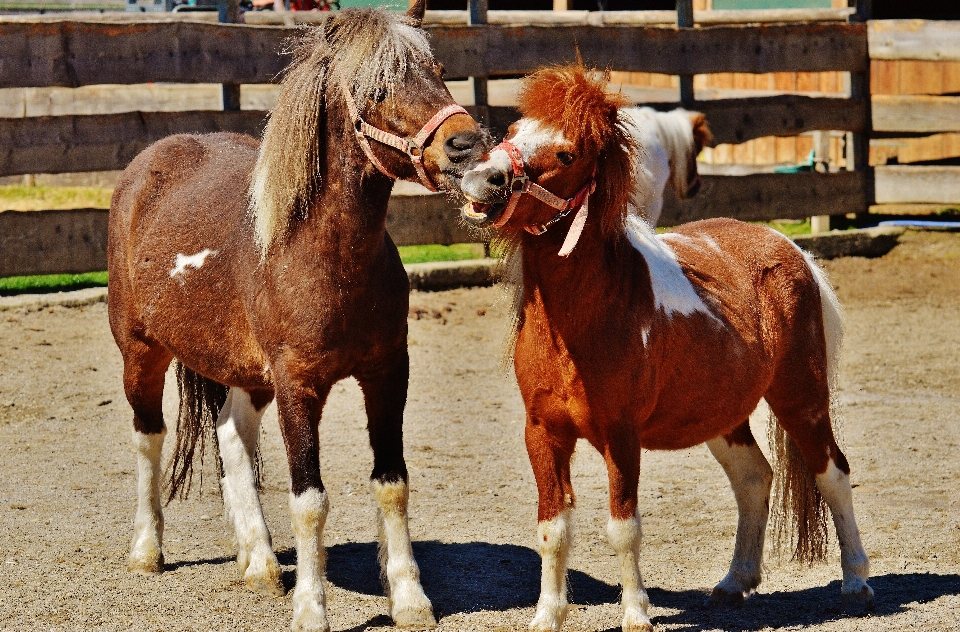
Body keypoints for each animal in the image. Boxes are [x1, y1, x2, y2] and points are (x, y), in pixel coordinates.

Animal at [107, 3, 488, 628]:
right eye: (376, 89)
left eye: (437, 71)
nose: (469, 147)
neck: (322, 255)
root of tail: (148, 166)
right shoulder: (297, 386)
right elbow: (309, 499)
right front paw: (312, 607)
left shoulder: (388, 374)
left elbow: (392, 484)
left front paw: (409, 599)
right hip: (141, 350)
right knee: (148, 437)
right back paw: (146, 550)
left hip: (246, 374)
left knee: (232, 437)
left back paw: (259, 561)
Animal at [462, 64, 872, 632]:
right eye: (514, 130)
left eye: (567, 154)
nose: (481, 179)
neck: (584, 318)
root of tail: (789, 248)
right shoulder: (543, 434)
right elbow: (553, 528)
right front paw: (547, 615)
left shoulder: (620, 436)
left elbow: (623, 527)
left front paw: (636, 613)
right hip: (723, 413)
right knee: (754, 479)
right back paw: (733, 583)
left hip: (801, 398)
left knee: (832, 472)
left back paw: (857, 583)